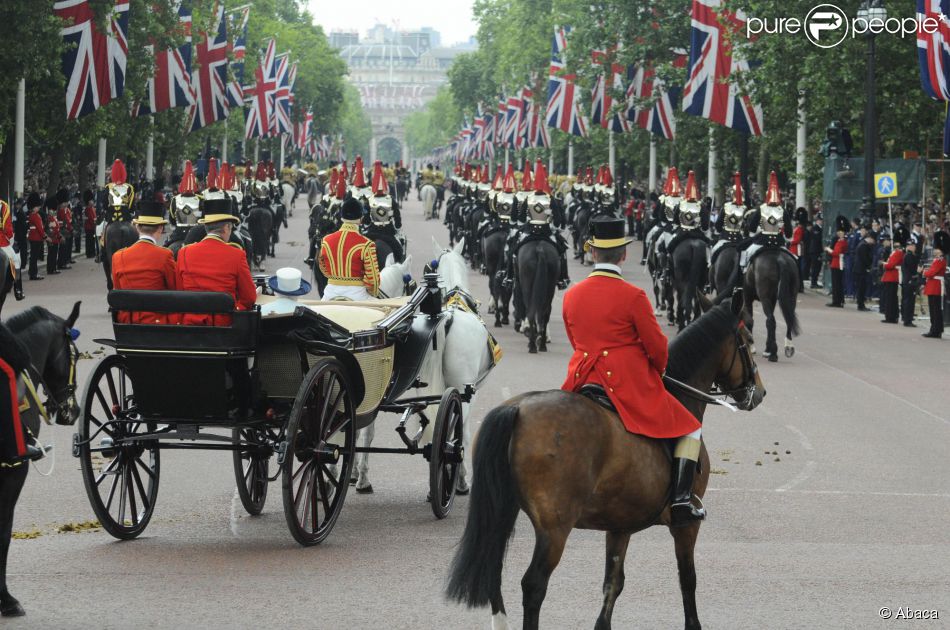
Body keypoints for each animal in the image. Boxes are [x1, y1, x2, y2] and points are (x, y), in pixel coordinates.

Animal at [446, 292, 768, 630]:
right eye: (748, 340)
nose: (759, 392)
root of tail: (518, 409)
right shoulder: (686, 527)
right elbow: (687, 579)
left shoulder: (620, 526)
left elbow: (613, 582)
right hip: (555, 529)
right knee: (533, 585)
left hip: (504, 512)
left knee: (494, 574)